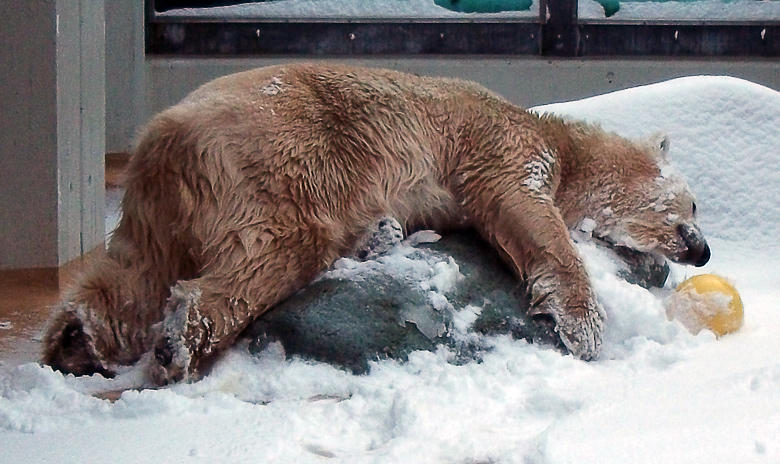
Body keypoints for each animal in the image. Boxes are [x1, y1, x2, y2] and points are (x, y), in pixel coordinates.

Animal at [44, 64, 712, 384]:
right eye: (693, 207)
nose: (703, 250)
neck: (562, 141)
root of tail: (164, 135)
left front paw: (385, 233)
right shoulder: (501, 144)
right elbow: (521, 207)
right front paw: (586, 328)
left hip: (163, 204)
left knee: (136, 271)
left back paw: (77, 339)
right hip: (288, 154)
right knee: (277, 245)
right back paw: (180, 340)